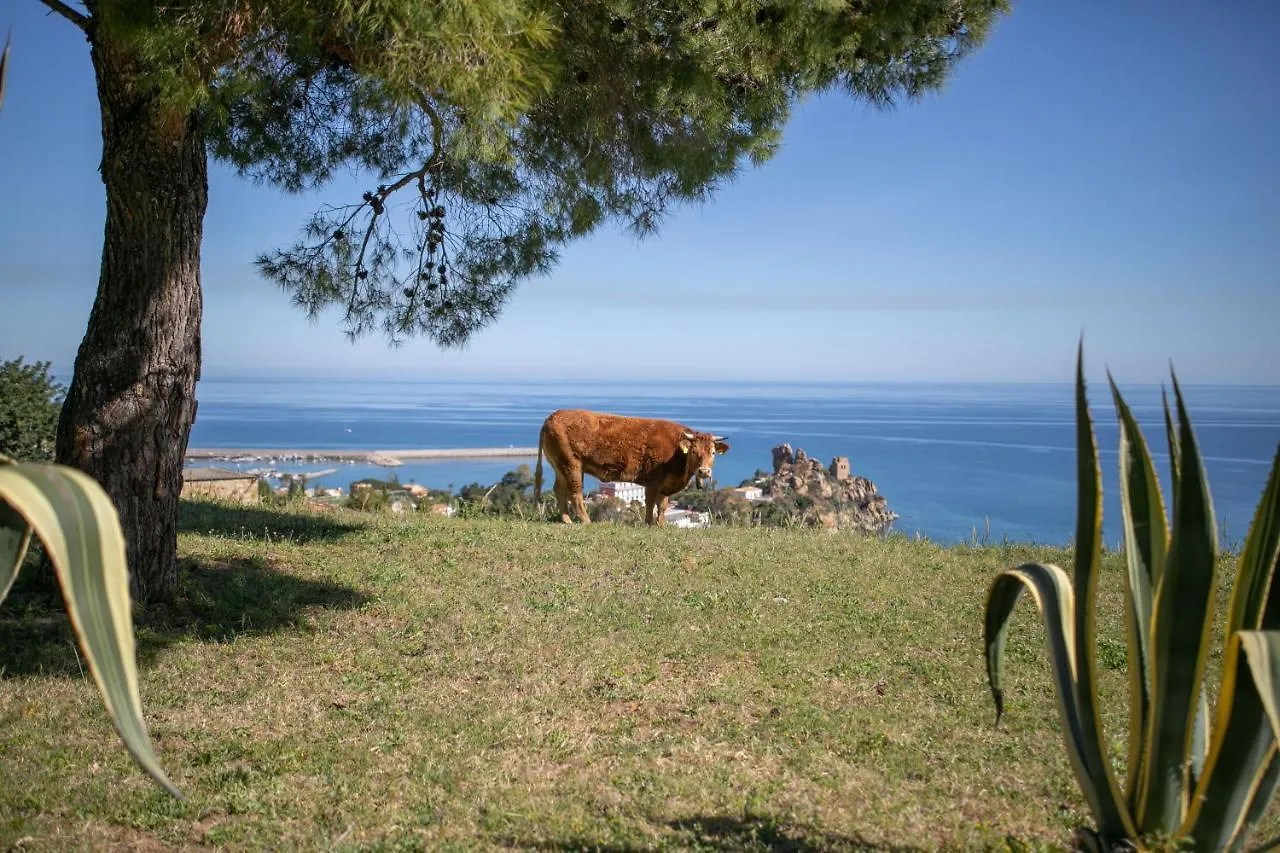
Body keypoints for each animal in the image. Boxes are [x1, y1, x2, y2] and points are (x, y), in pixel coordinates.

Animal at [532, 407, 732, 522]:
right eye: (694, 451)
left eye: (713, 452)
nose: (704, 471)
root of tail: (552, 417)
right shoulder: (653, 481)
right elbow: (650, 504)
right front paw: (649, 524)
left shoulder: (665, 486)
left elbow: (662, 506)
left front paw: (661, 526)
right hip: (572, 465)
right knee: (575, 493)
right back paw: (586, 521)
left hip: (560, 465)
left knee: (559, 489)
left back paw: (566, 520)